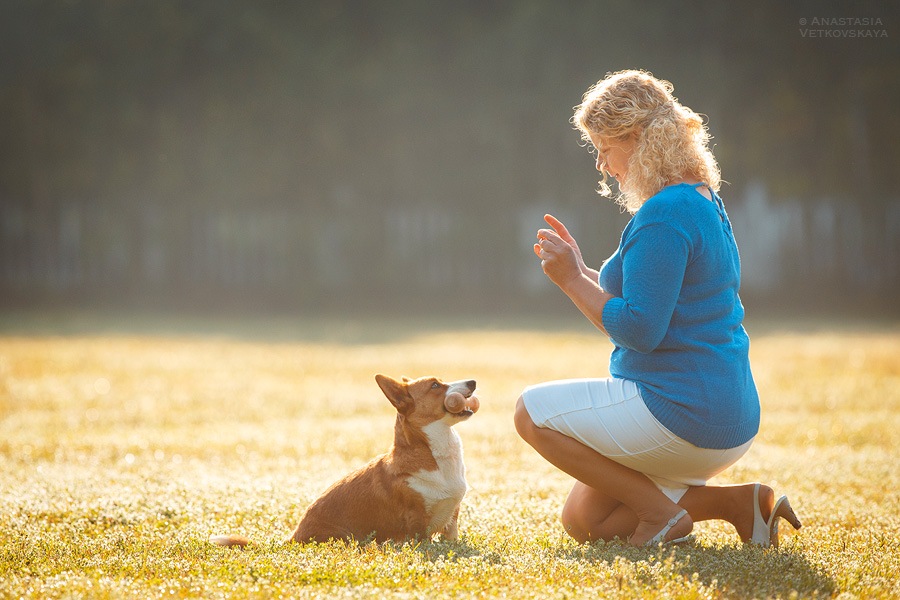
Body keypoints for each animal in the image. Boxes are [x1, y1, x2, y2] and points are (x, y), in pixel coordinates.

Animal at [210, 372, 478, 548]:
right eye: (435, 385)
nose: (473, 382)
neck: (436, 452)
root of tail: (292, 539)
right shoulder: (417, 523)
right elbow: (424, 543)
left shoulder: (452, 515)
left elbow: (452, 538)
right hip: (345, 538)